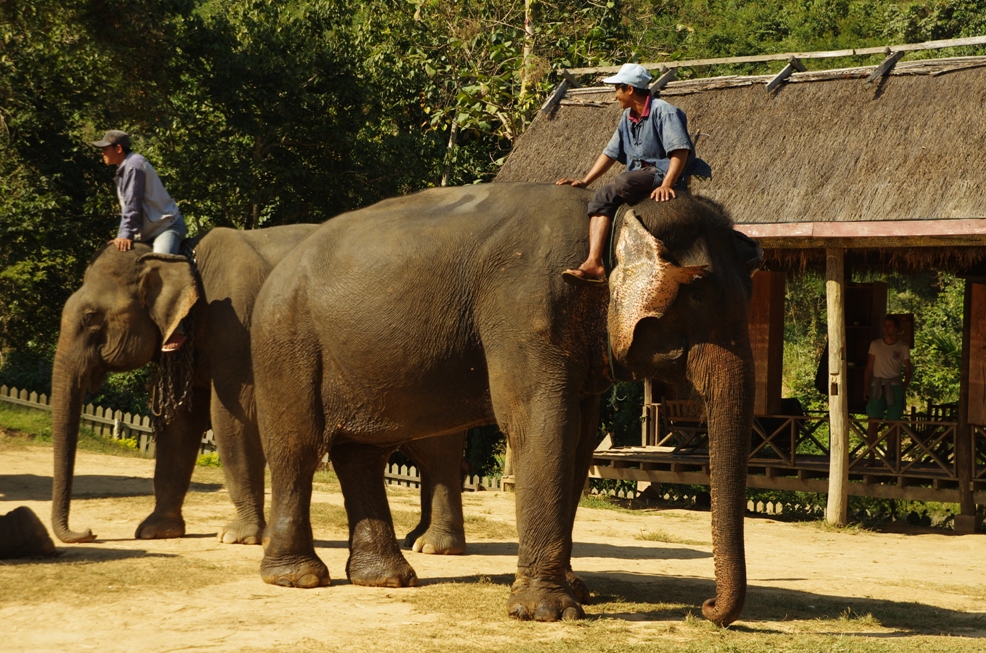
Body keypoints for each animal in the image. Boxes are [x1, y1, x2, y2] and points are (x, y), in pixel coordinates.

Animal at [250, 181, 756, 624]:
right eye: (699, 296)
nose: (708, 609)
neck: (612, 219)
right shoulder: (526, 304)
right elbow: (543, 422)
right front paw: (548, 612)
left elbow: (579, 439)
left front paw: (576, 593)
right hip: (285, 344)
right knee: (297, 448)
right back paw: (300, 578)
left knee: (361, 454)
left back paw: (386, 580)